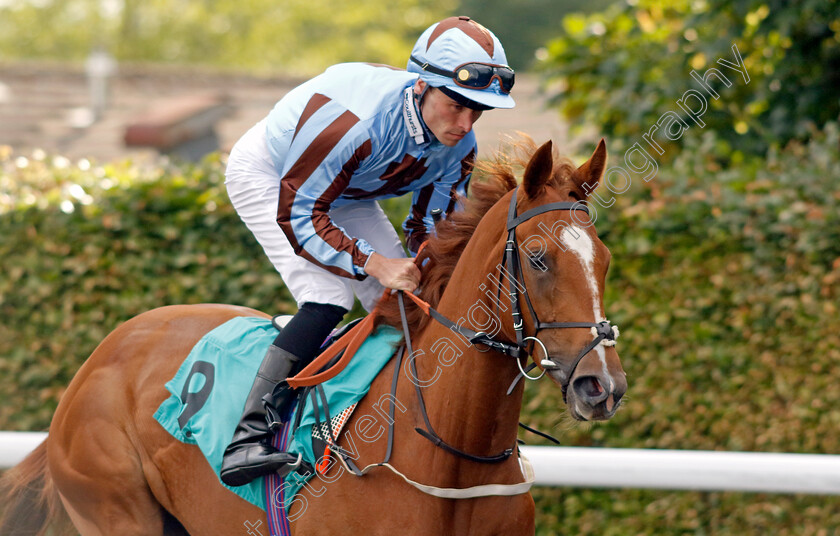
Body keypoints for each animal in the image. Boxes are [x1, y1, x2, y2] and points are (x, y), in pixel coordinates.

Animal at [0, 139, 628, 536]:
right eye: (540, 258)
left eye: (604, 260)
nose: (603, 385)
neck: (448, 454)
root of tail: (98, 358)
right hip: (114, 507)